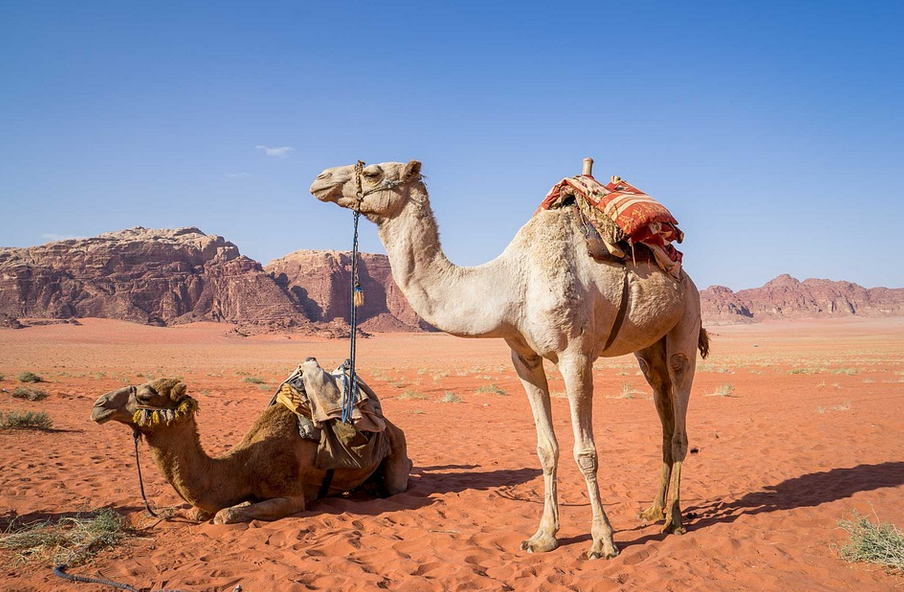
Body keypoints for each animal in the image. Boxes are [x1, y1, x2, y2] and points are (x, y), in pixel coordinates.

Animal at [91, 373, 410, 524]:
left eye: (145, 396)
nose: (99, 405)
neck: (241, 466)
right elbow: (196, 511)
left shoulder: (291, 496)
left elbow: (224, 515)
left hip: (396, 441)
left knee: (397, 482)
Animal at [310, 160, 709, 559]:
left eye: (373, 172)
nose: (320, 179)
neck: (511, 285)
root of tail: (684, 275)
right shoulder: (524, 358)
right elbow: (546, 449)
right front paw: (544, 535)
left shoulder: (575, 355)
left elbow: (586, 451)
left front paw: (603, 540)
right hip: (648, 347)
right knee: (662, 406)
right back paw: (653, 509)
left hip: (686, 320)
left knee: (679, 415)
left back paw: (674, 519)